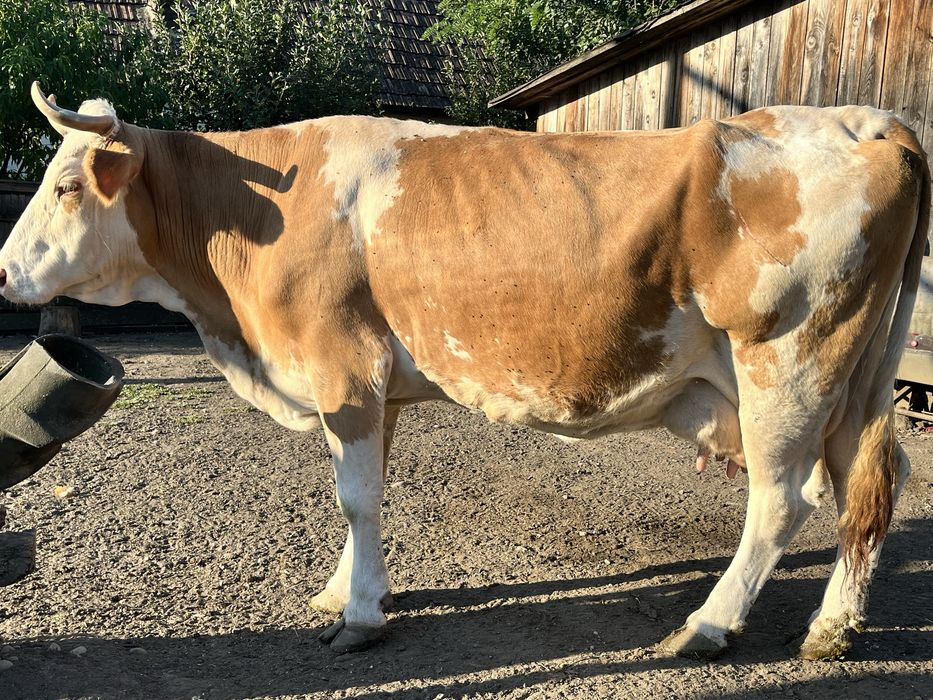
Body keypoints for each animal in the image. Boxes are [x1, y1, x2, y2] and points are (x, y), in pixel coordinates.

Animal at [0, 82, 927, 659]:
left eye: (65, 186)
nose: (4, 271)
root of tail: (869, 118)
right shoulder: (374, 384)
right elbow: (362, 496)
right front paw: (346, 591)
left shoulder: (342, 367)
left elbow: (355, 497)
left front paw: (360, 617)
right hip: (851, 377)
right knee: (865, 485)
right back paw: (832, 629)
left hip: (788, 359)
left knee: (783, 499)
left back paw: (706, 627)